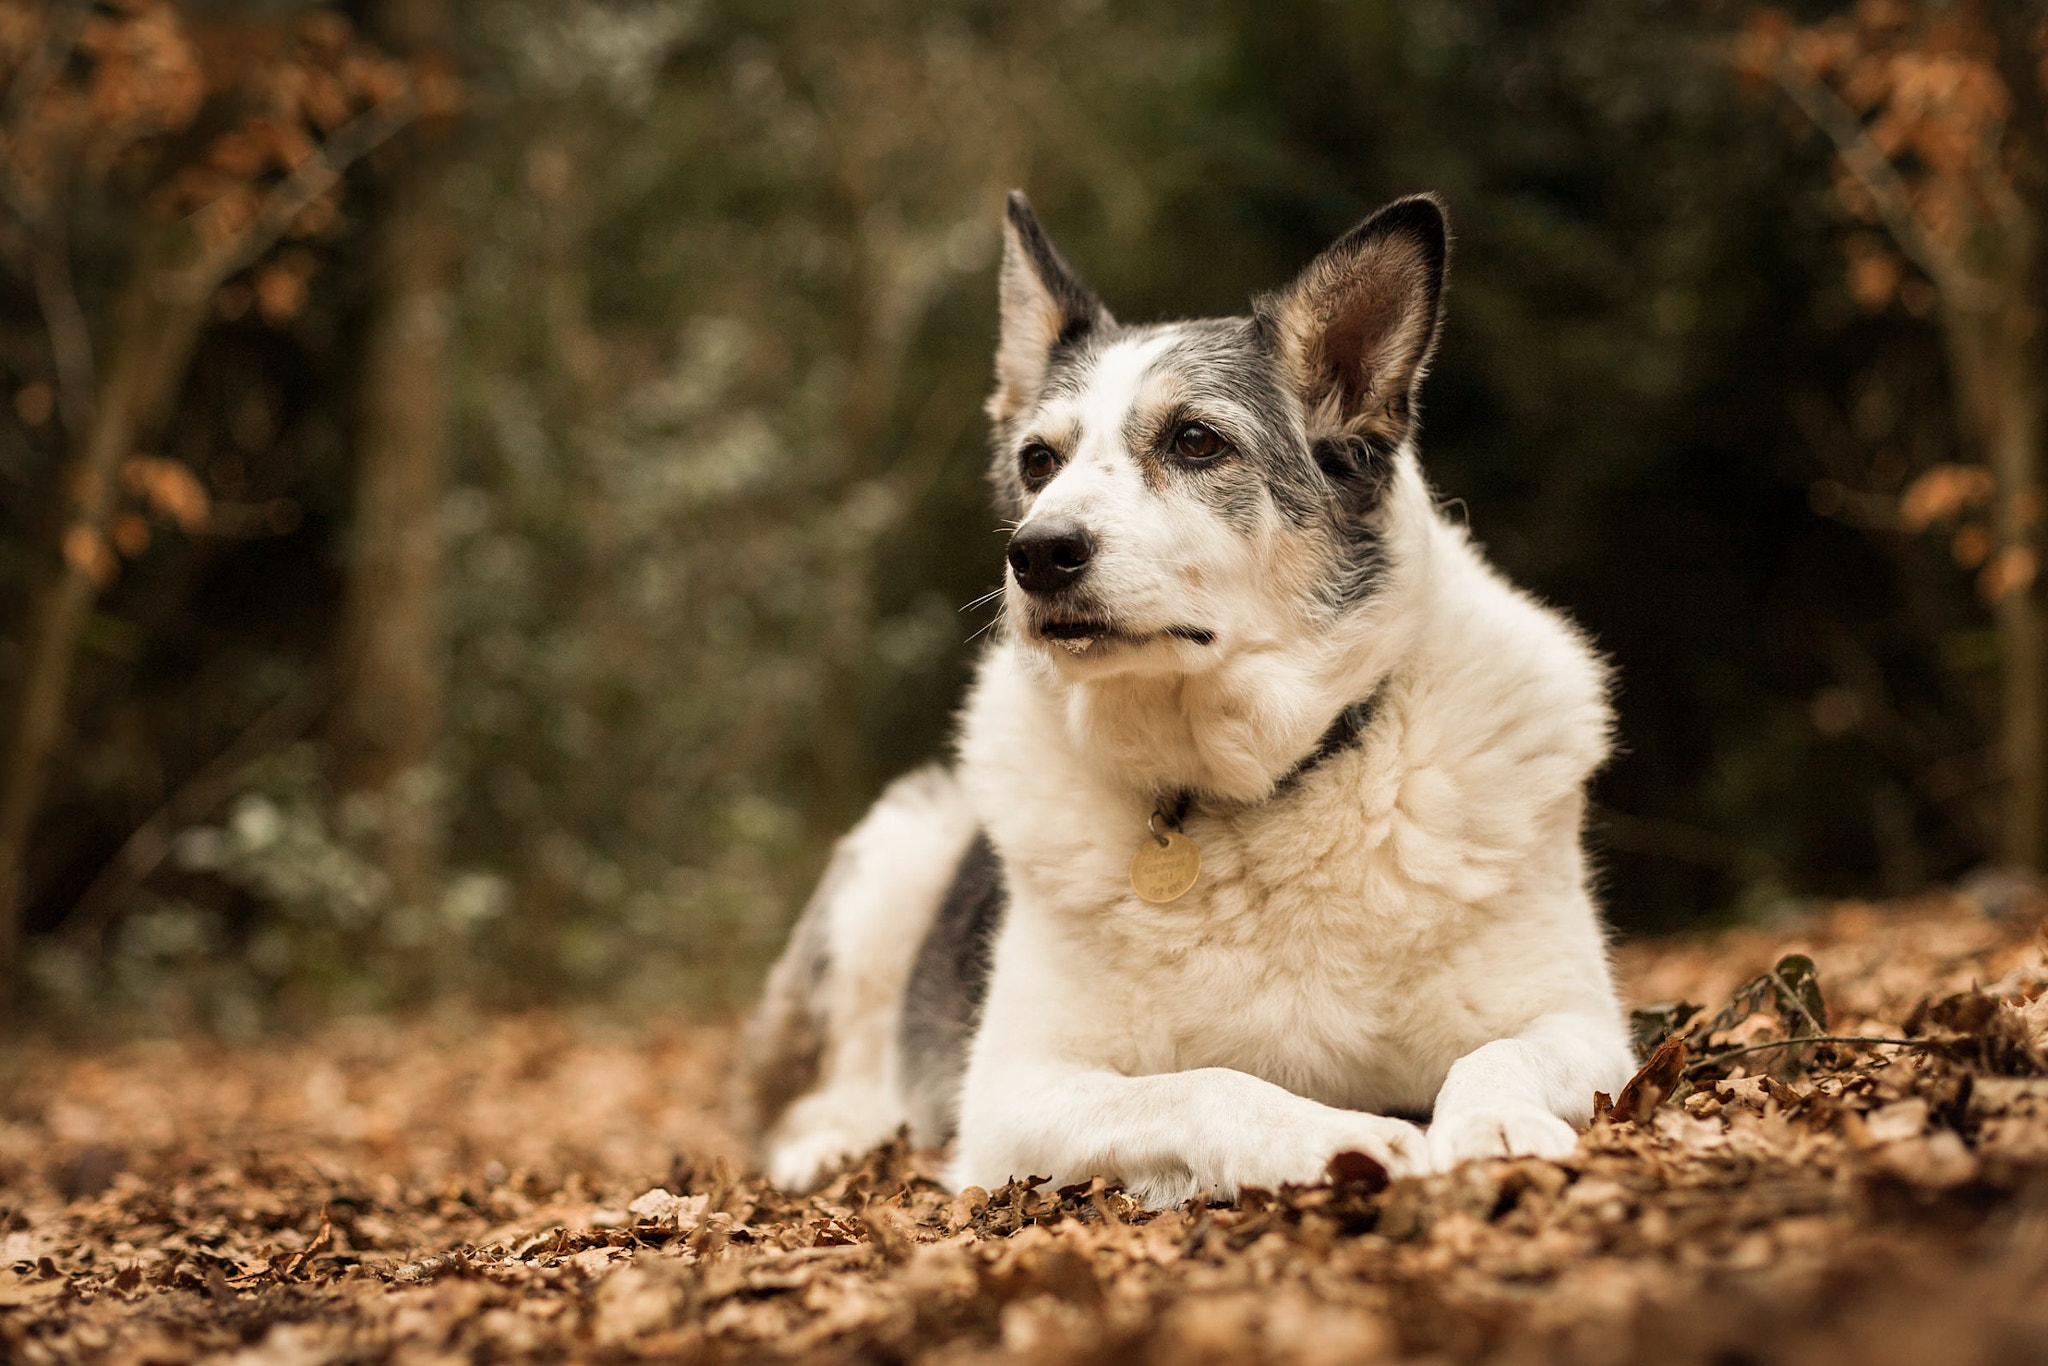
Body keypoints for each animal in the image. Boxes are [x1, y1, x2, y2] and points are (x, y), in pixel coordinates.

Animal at [737, 189, 1630, 1204]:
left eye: (1195, 441)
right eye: (1039, 462)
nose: (1038, 554)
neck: (1245, 786)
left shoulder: (1581, 1024)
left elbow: (1495, 1057)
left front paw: (1495, 1125)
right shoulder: (1015, 1091)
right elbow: (1207, 1084)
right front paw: (1342, 1139)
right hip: (899, 851)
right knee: (816, 1093)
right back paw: (832, 1143)